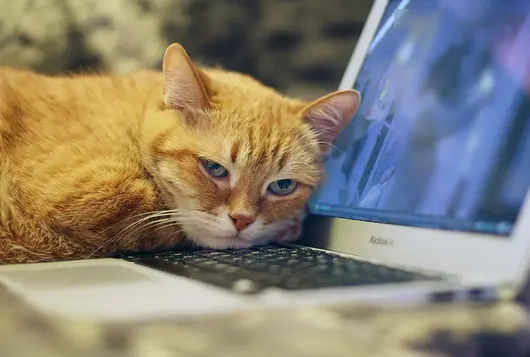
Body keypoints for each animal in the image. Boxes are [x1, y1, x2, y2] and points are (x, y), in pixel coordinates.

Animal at [0, 43, 358, 262]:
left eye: (282, 186)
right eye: (214, 168)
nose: (242, 220)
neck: (135, 123)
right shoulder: (89, 197)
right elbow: (159, 215)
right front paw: (290, 227)